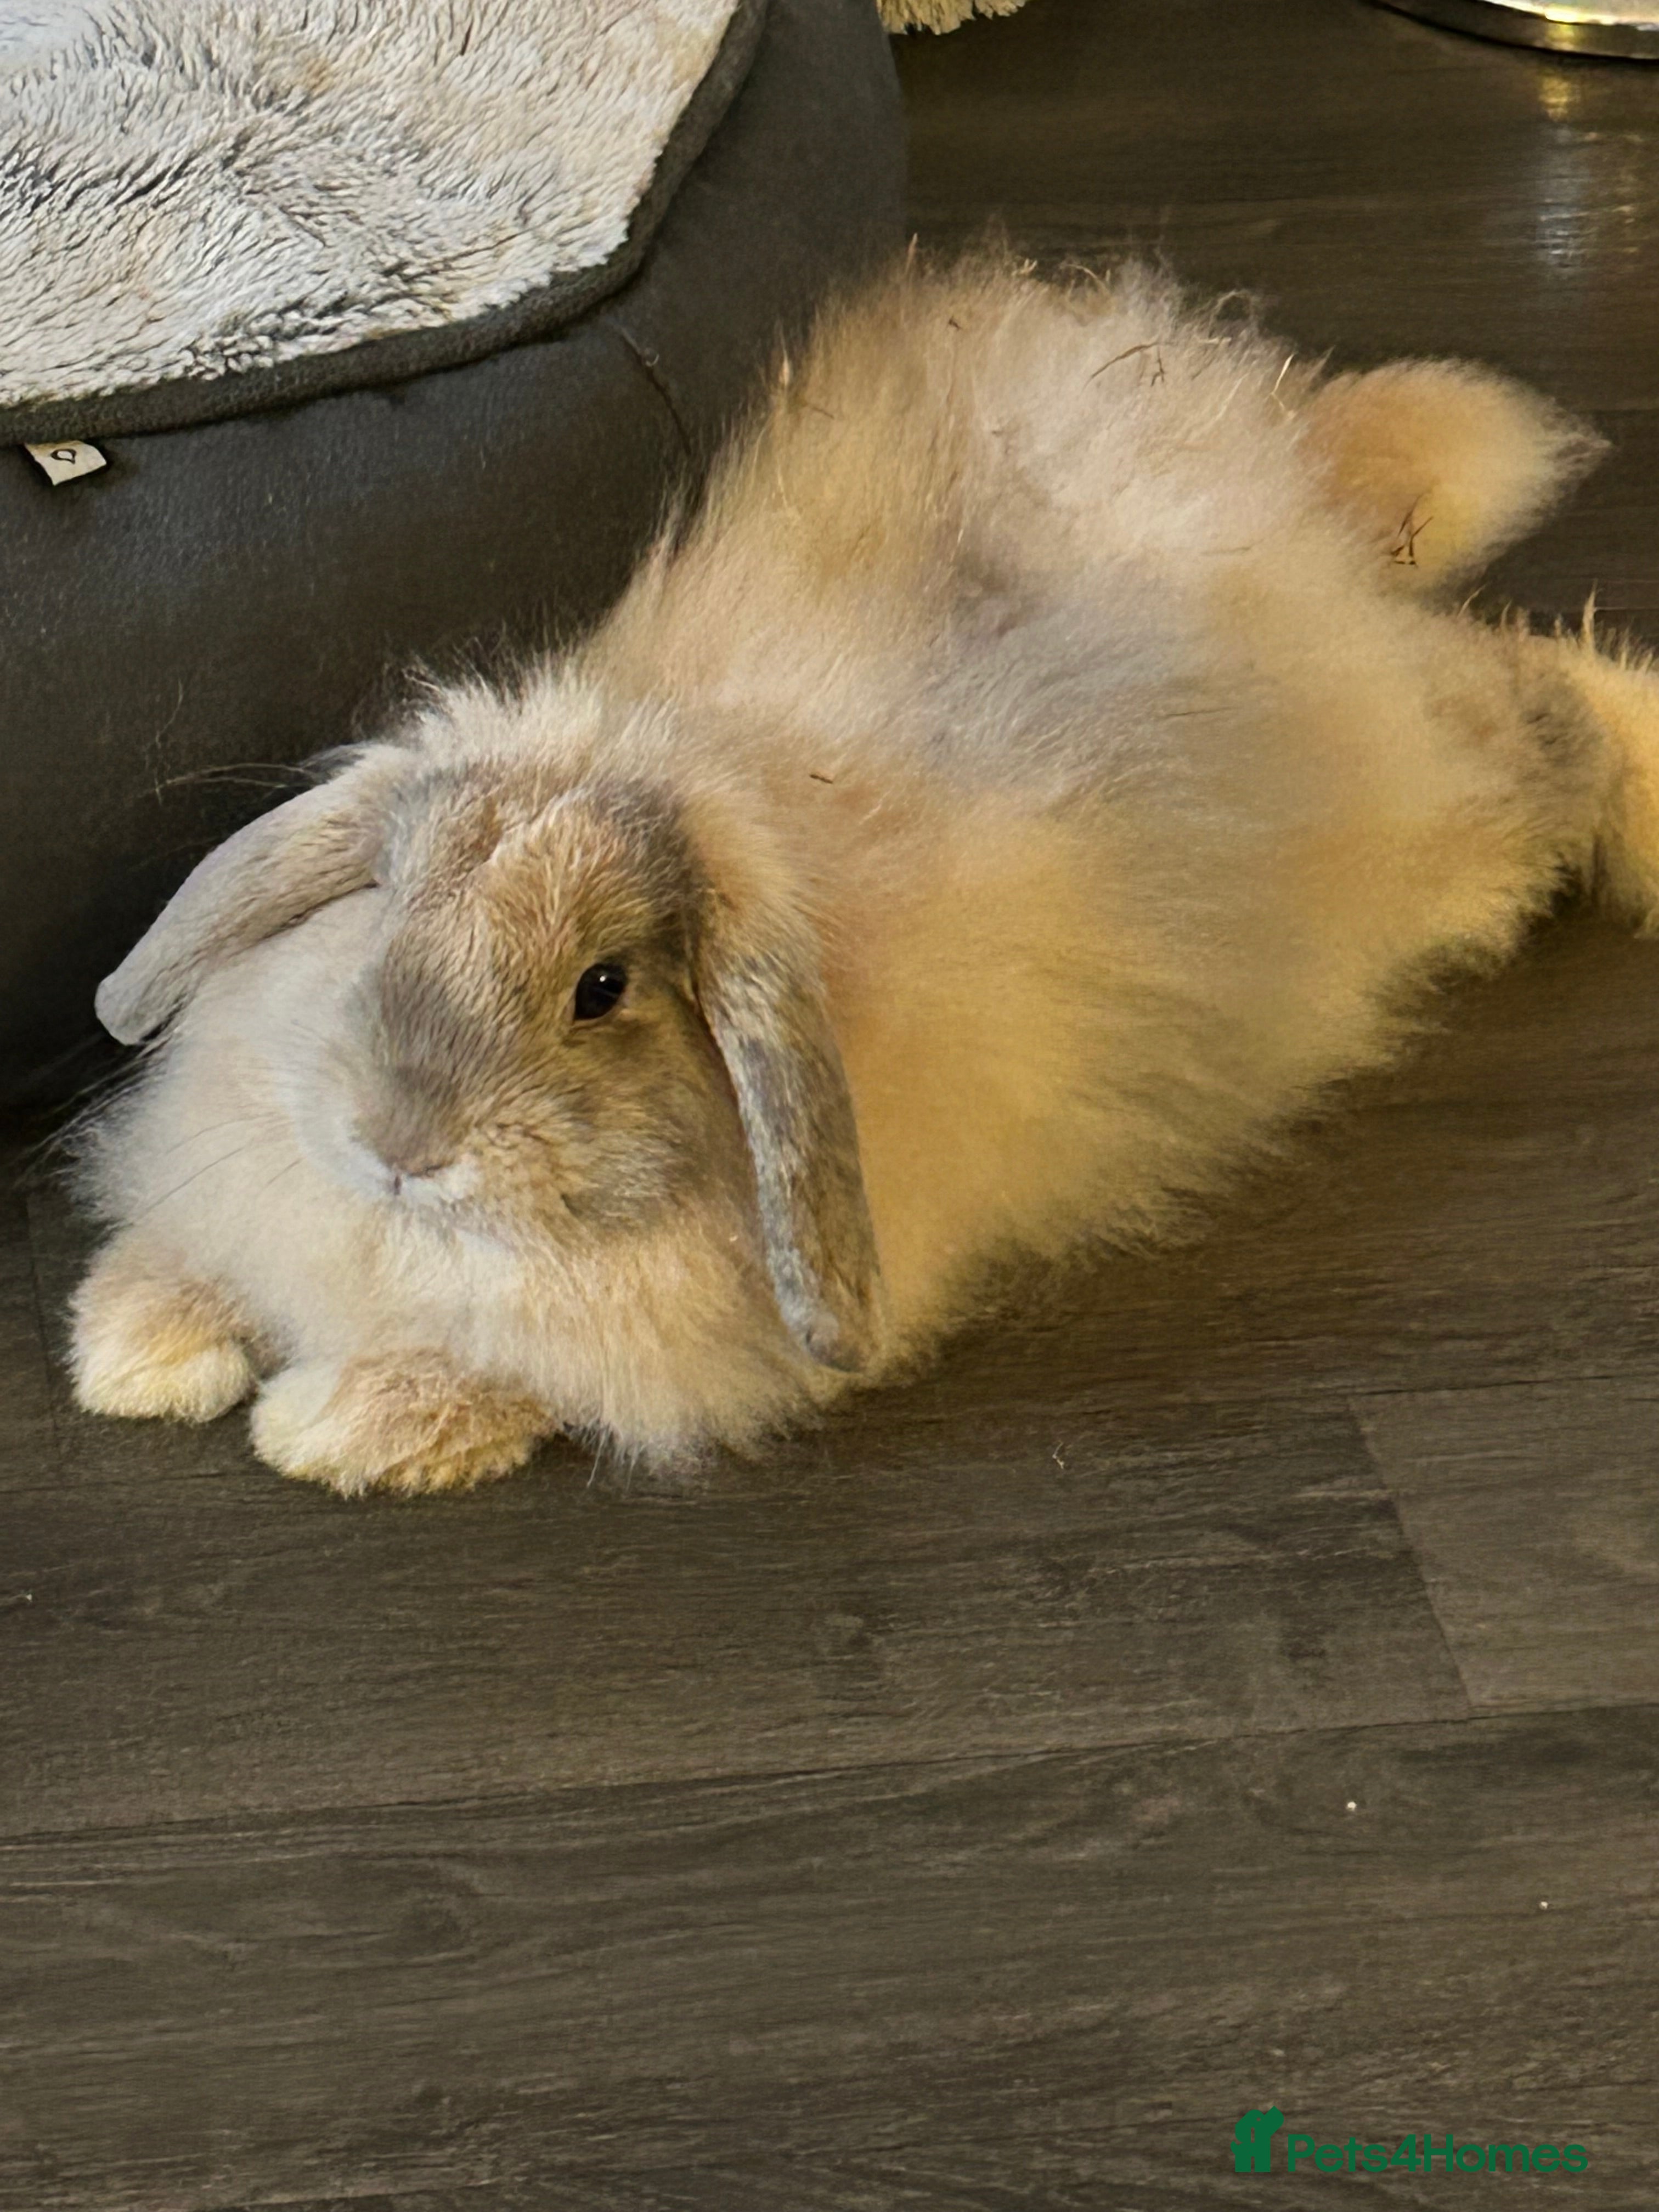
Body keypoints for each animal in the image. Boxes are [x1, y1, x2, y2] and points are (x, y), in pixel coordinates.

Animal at [68, 252, 1659, 1495]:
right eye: (390, 908)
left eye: (603, 988)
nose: (402, 1142)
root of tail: (1304, 488)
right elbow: (199, 1254)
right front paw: (134, 1350)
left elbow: (483, 1381)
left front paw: (320, 1425)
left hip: (1465, 785)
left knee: (1553, 701)